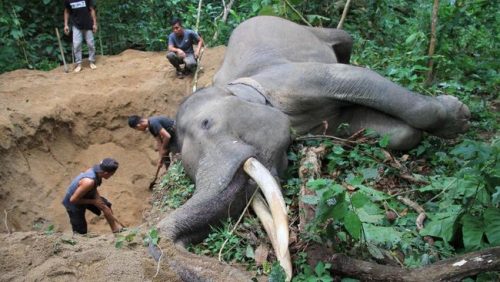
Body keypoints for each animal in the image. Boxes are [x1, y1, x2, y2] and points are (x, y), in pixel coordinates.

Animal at [158, 15, 470, 280]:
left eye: (207, 123)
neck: (238, 84)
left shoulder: (291, 80)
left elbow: (346, 77)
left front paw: (460, 116)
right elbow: (398, 133)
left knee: (345, 43)